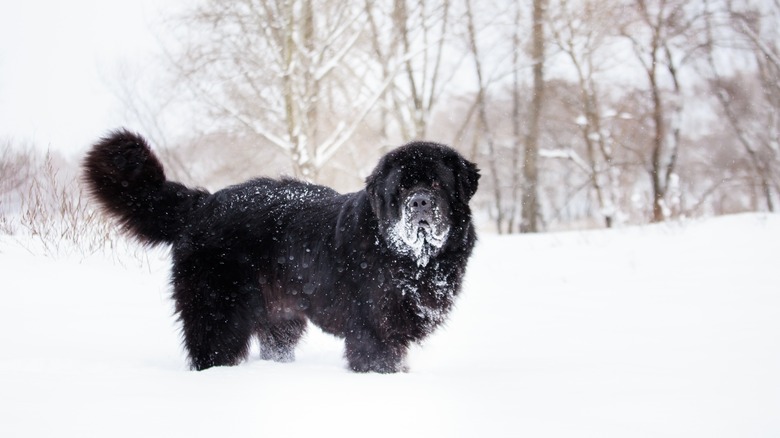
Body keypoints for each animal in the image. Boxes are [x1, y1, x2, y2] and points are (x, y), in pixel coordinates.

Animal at [82, 130, 478, 372]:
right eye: (402, 188)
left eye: (437, 184)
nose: (419, 202)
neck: (413, 261)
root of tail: (203, 204)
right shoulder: (372, 329)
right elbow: (378, 360)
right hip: (218, 310)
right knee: (212, 346)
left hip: (279, 318)